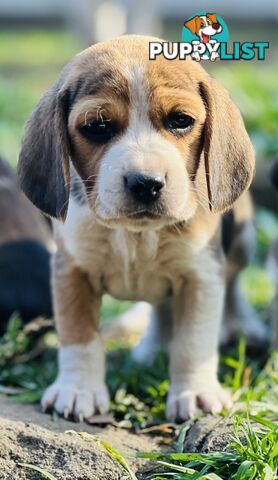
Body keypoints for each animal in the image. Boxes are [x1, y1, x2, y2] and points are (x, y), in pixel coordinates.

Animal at [17, 36, 256, 420]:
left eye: (181, 121)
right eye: (97, 127)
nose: (146, 183)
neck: (135, 234)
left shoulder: (201, 274)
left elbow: (193, 340)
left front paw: (195, 392)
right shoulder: (72, 270)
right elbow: (78, 335)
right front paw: (78, 389)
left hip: (242, 244)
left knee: (232, 287)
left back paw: (244, 325)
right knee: (161, 310)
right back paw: (152, 348)